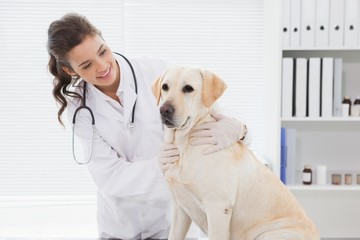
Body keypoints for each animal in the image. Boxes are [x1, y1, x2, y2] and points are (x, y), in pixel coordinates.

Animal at [150, 66, 320, 240]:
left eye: (188, 88)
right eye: (165, 87)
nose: (164, 110)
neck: (184, 145)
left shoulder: (218, 208)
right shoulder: (180, 209)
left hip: (269, 234)